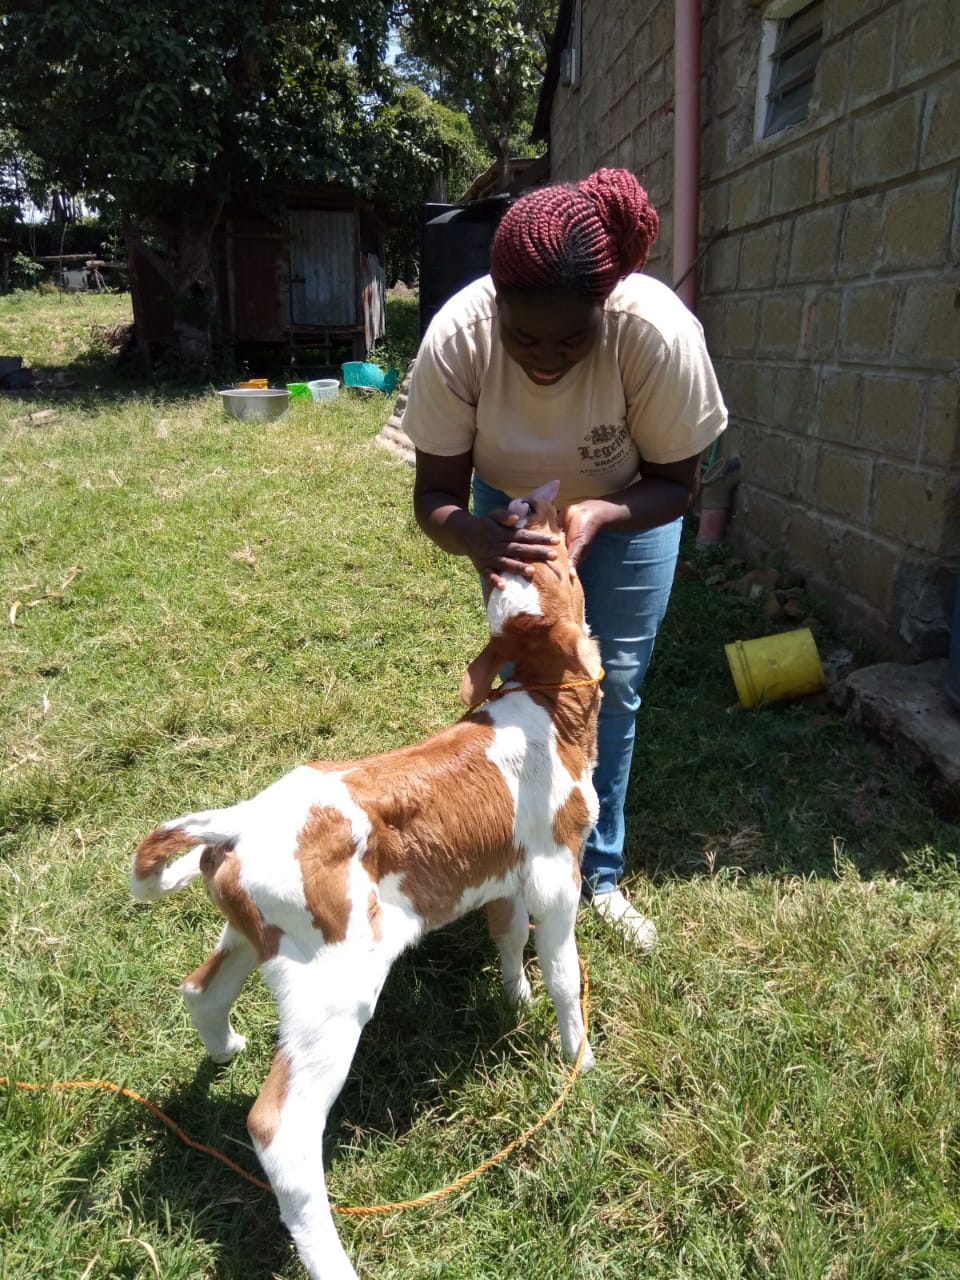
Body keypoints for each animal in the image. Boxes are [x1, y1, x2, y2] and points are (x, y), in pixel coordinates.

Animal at [129, 481, 601, 1280]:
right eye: (563, 570)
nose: (524, 506)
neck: (548, 709)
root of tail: (240, 822)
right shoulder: (553, 869)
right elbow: (566, 971)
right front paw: (580, 1059)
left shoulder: (503, 871)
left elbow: (508, 938)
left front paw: (515, 1001)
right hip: (333, 982)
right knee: (280, 1129)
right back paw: (332, 1260)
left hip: (256, 934)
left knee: (201, 989)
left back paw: (224, 1050)